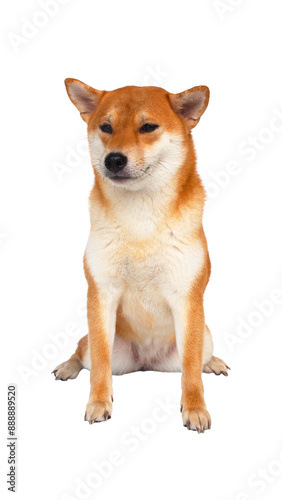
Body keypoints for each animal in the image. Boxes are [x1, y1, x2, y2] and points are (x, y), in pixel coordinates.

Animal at [53, 77, 229, 430]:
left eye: (148, 127)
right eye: (106, 127)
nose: (114, 159)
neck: (141, 222)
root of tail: (146, 362)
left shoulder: (187, 298)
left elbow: (191, 370)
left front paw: (195, 408)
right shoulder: (101, 294)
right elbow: (100, 366)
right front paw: (98, 403)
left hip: (204, 335)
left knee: (197, 358)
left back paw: (213, 362)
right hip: (103, 347)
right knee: (83, 352)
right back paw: (67, 367)